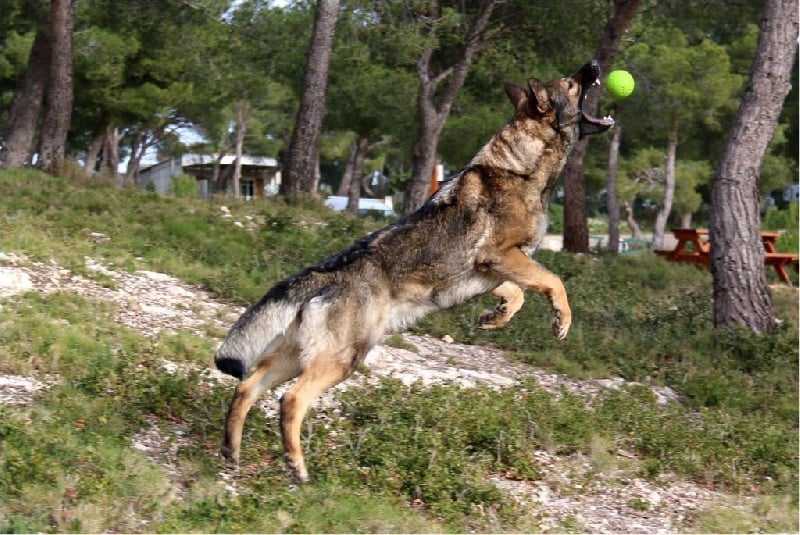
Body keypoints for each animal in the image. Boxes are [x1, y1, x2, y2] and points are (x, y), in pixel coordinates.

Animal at [212, 60, 612, 484]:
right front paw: (561, 319)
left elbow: (516, 292)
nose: (595, 64)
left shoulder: (492, 269)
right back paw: (297, 466)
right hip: (342, 360)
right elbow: (554, 281)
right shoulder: (501, 255)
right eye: (571, 83)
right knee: (291, 400)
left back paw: (231, 453)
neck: (525, 166)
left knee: (246, 388)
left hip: (292, 359)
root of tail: (320, 277)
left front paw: (496, 316)